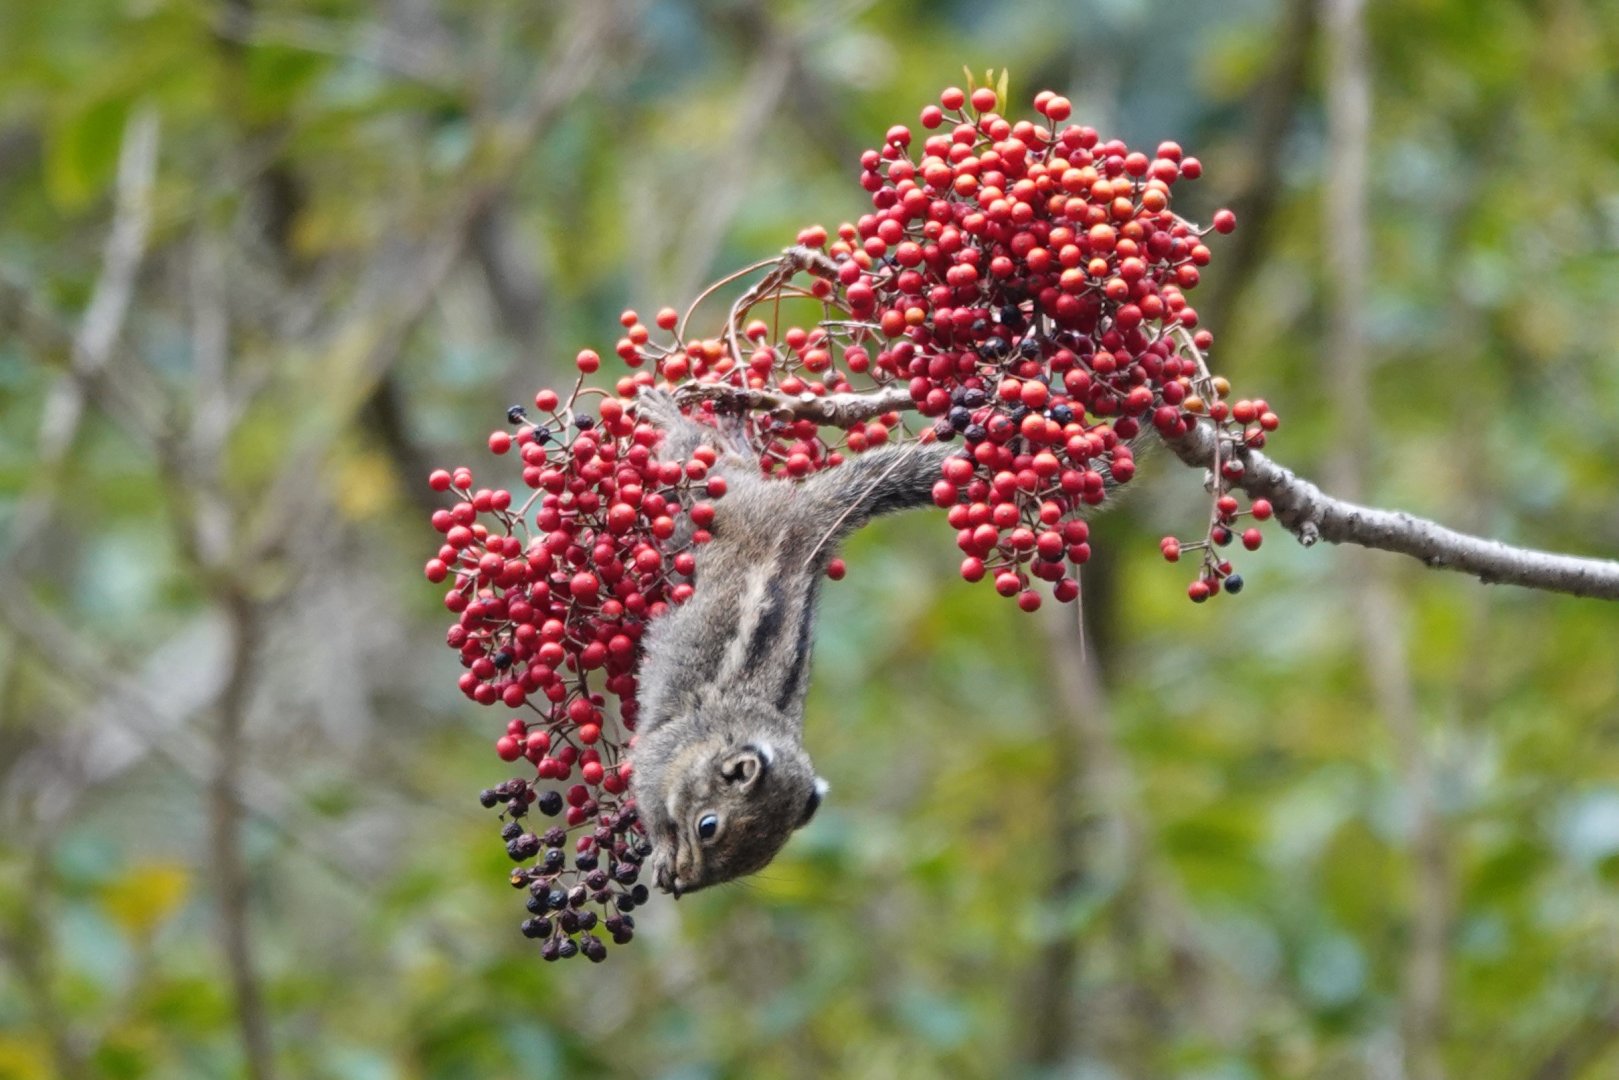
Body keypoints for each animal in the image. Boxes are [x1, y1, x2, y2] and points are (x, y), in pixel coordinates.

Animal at [629, 389, 951, 897]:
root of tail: (807, 518)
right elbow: (650, 806)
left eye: (757, 862)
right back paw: (673, 418)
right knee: (692, 452)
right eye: (707, 826)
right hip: (711, 496)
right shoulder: (656, 759)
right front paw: (663, 853)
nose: (688, 882)